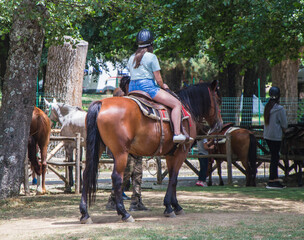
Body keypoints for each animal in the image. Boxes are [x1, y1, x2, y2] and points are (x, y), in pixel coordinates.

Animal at [79, 80, 223, 223]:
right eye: (218, 100)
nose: (220, 124)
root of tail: (101, 103)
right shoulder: (181, 152)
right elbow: (174, 178)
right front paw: (170, 207)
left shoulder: (170, 154)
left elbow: (172, 177)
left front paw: (174, 205)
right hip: (120, 153)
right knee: (117, 178)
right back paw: (124, 213)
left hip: (98, 148)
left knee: (86, 174)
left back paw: (85, 214)